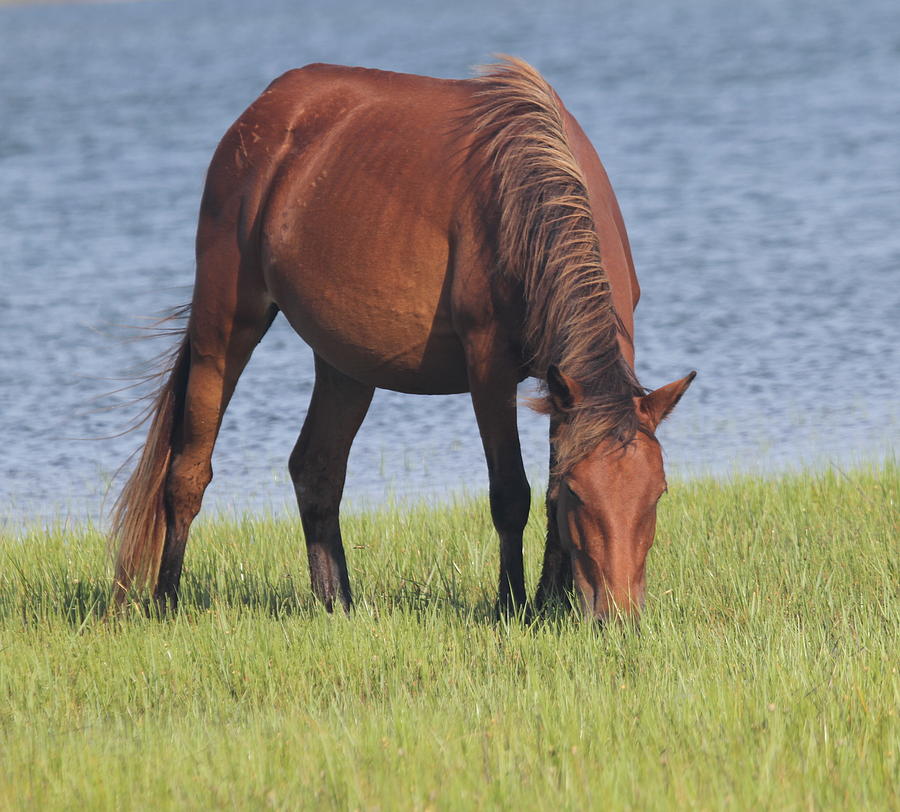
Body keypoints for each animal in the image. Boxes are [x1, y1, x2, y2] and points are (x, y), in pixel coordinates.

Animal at [112, 57, 696, 620]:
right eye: (580, 493)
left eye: (659, 492)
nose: (618, 616)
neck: (530, 199)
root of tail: (264, 111)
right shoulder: (490, 368)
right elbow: (511, 492)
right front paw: (513, 605)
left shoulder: (561, 385)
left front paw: (554, 601)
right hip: (224, 327)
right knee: (188, 472)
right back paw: (165, 602)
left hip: (345, 363)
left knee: (316, 470)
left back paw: (337, 605)